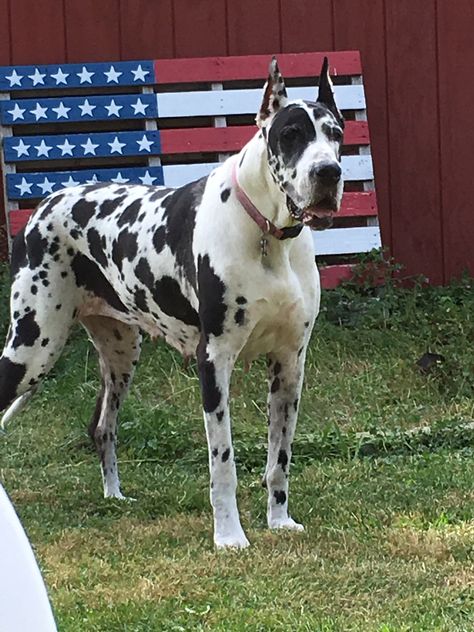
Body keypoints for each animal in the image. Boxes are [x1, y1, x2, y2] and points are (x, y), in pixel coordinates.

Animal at [0, 56, 342, 548]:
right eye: (291, 134)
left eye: (336, 134)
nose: (328, 173)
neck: (267, 236)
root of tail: (43, 206)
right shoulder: (213, 362)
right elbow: (223, 463)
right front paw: (229, 537)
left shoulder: (290, 364)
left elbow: (279, 459)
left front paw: (279, 521)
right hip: (31, 347)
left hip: (121, 353)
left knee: (102, 427)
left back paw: (114, 496)